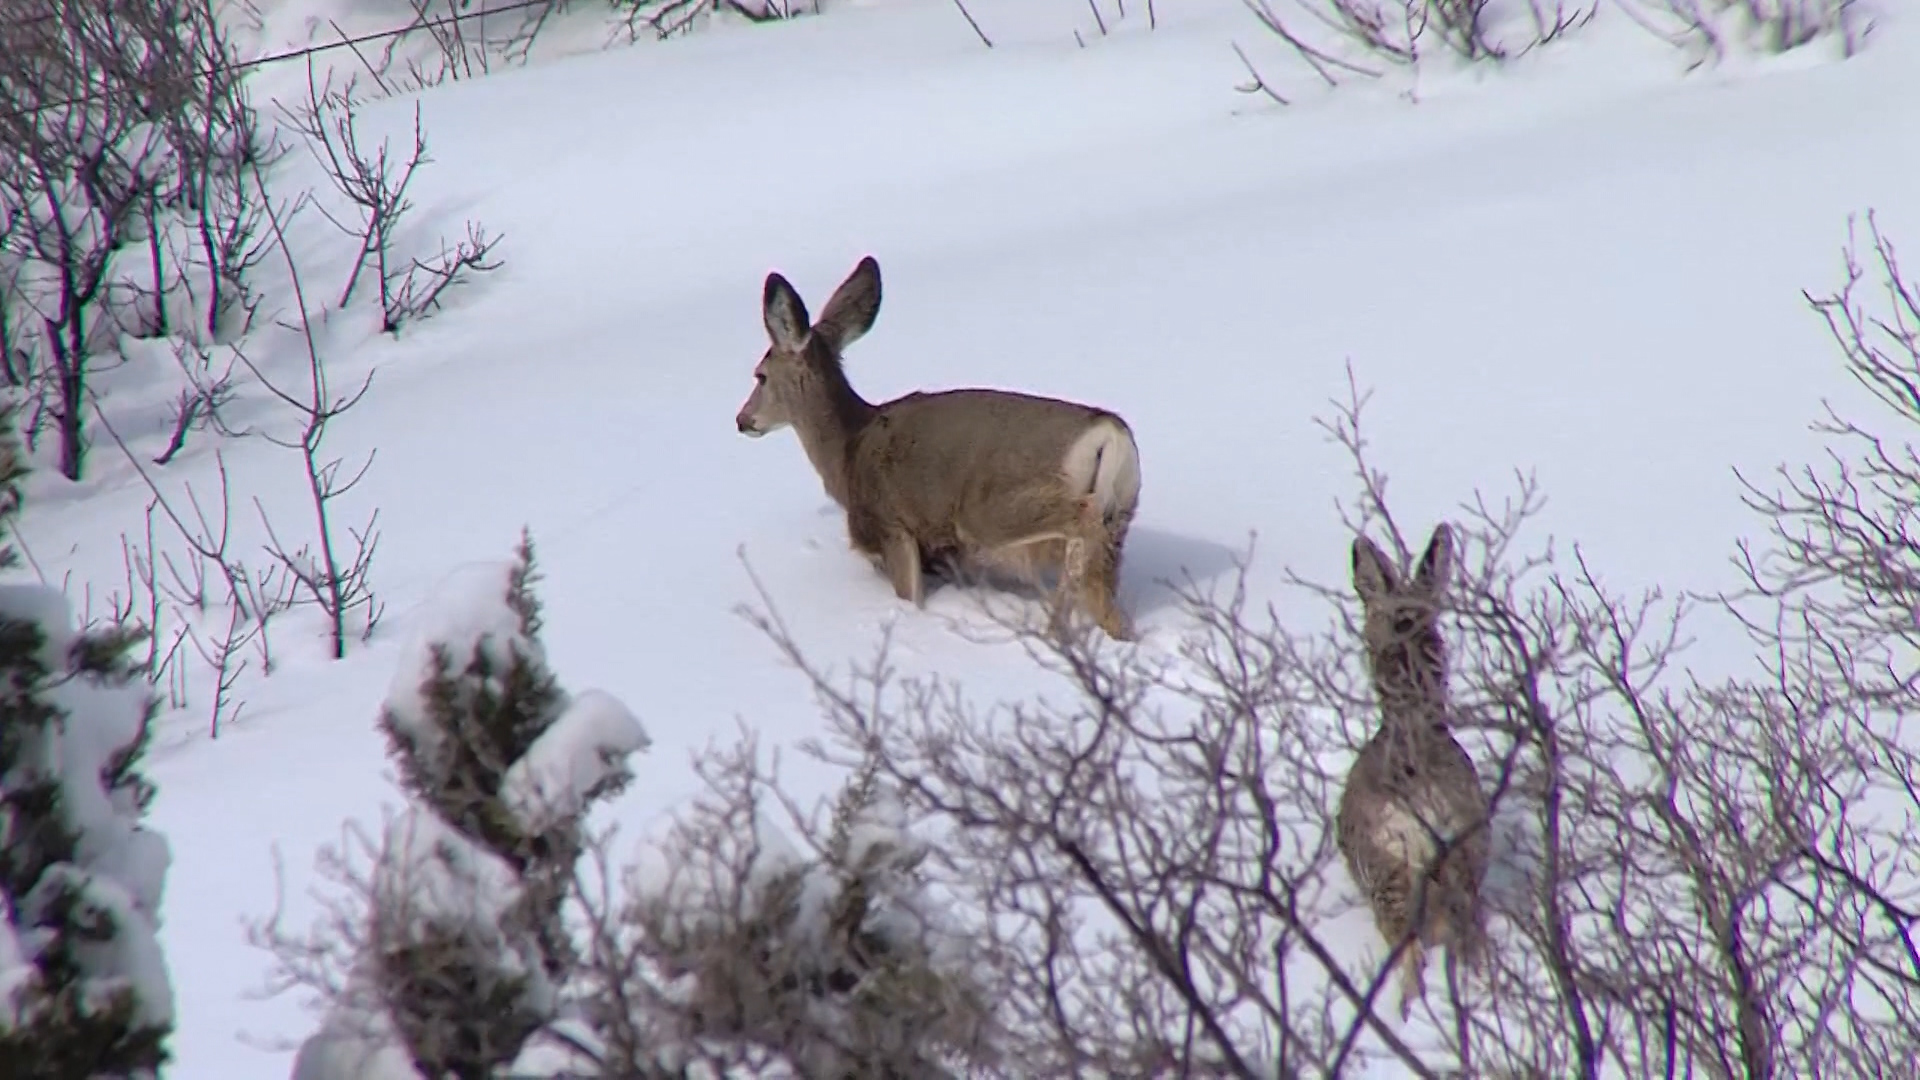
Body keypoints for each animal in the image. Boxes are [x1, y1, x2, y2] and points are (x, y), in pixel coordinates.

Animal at [734, 255, 1141, 641]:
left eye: (760, 376)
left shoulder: (891, 526)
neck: (848, 451)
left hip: (992, 509)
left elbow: (909, 596)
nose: (742, 419)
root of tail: (1109, 433)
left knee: (1080, 524)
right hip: (1121, 514)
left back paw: (1055, 631)